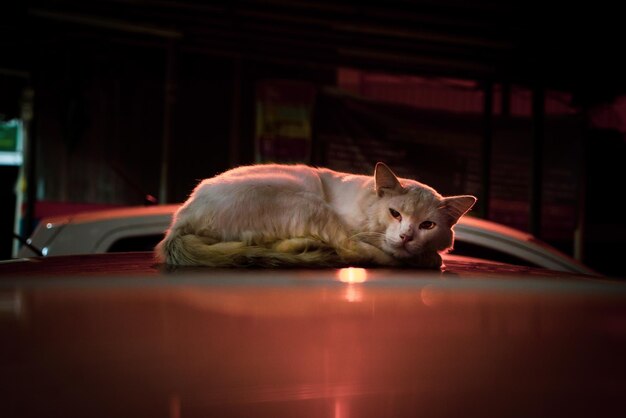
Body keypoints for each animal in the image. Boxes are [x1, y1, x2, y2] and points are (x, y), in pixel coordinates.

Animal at [155, 162, 472, 270]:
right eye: (395, 214)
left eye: (427, 225)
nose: (406, 236)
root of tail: (176, 227)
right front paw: (423, 256)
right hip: (309, 203)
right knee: (352, 251)